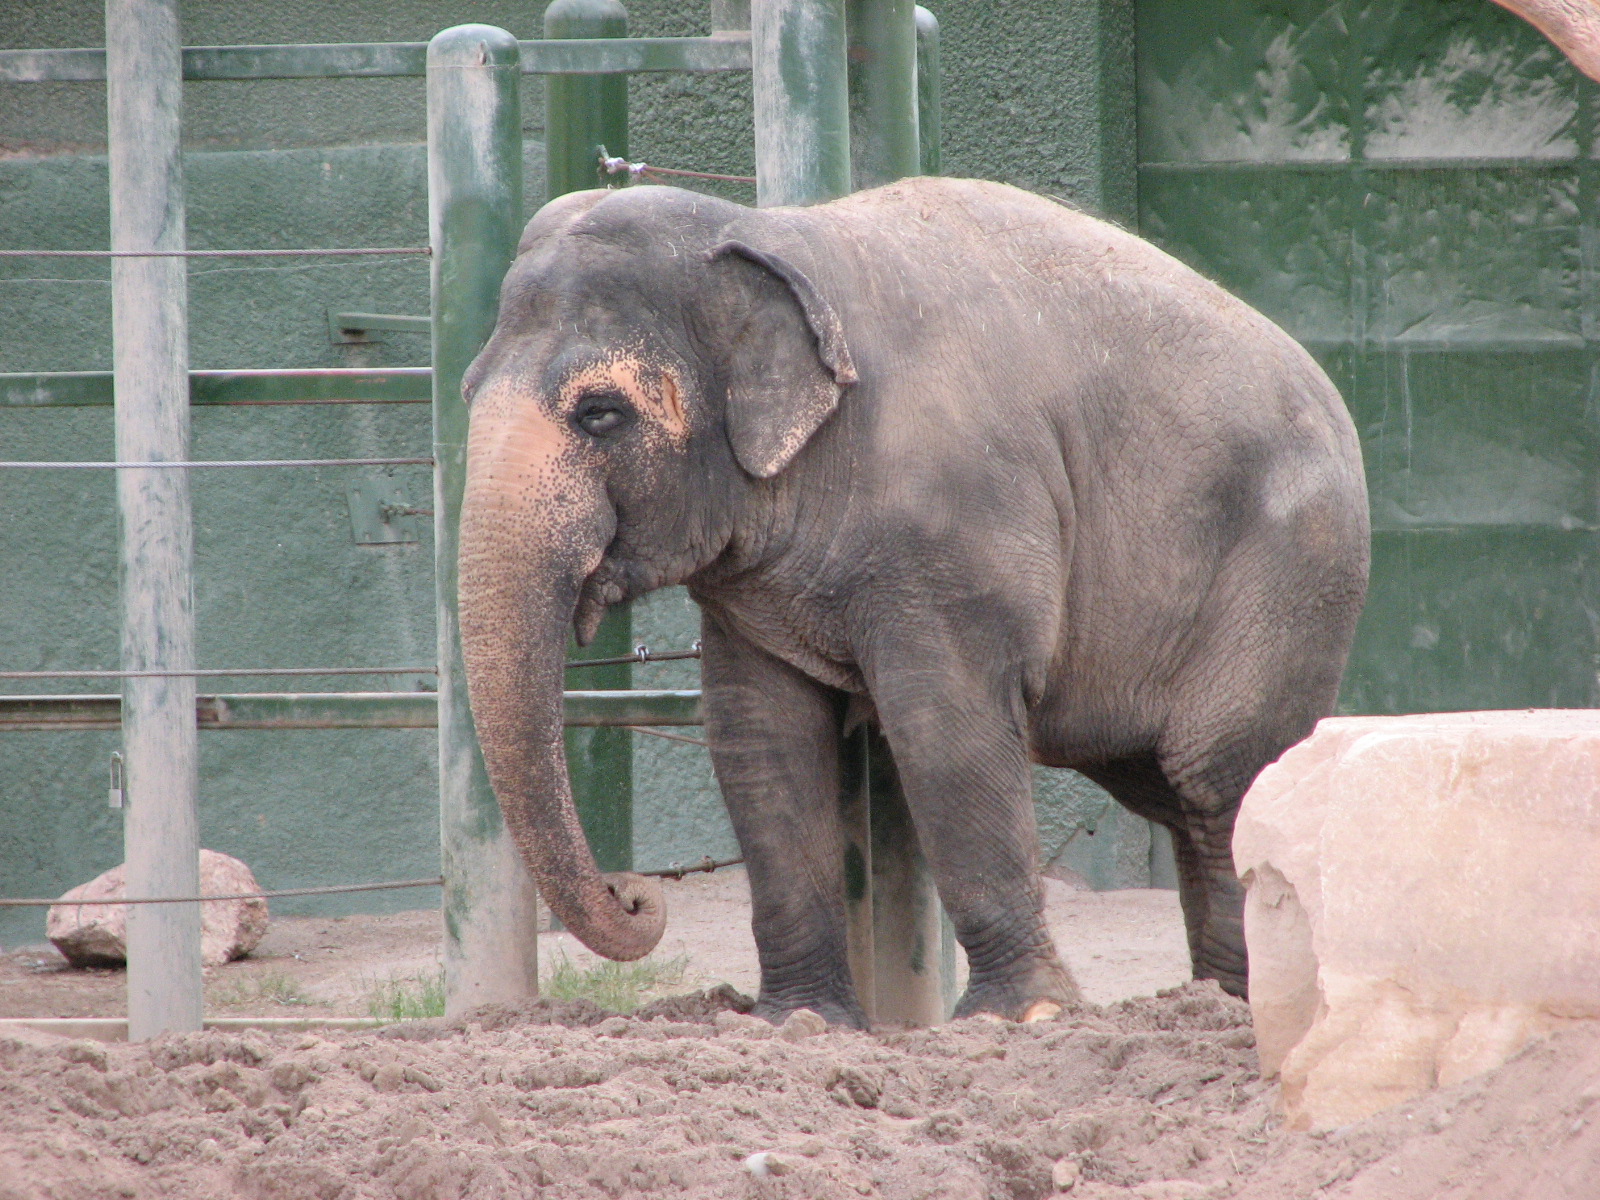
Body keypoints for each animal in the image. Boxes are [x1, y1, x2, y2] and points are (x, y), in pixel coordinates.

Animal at [456, 175, 1370, 1027]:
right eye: (465, 391)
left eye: (600, 414)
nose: (637, 894)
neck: (772, 232)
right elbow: (760, 740)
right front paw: (798, 1021)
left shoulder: (958, 531)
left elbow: (944, 734)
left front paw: (1022, 1017)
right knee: (1174, 793)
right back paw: (1212, 1002)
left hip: (1287, 578)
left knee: (1219, 779)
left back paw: (1250, 1007)